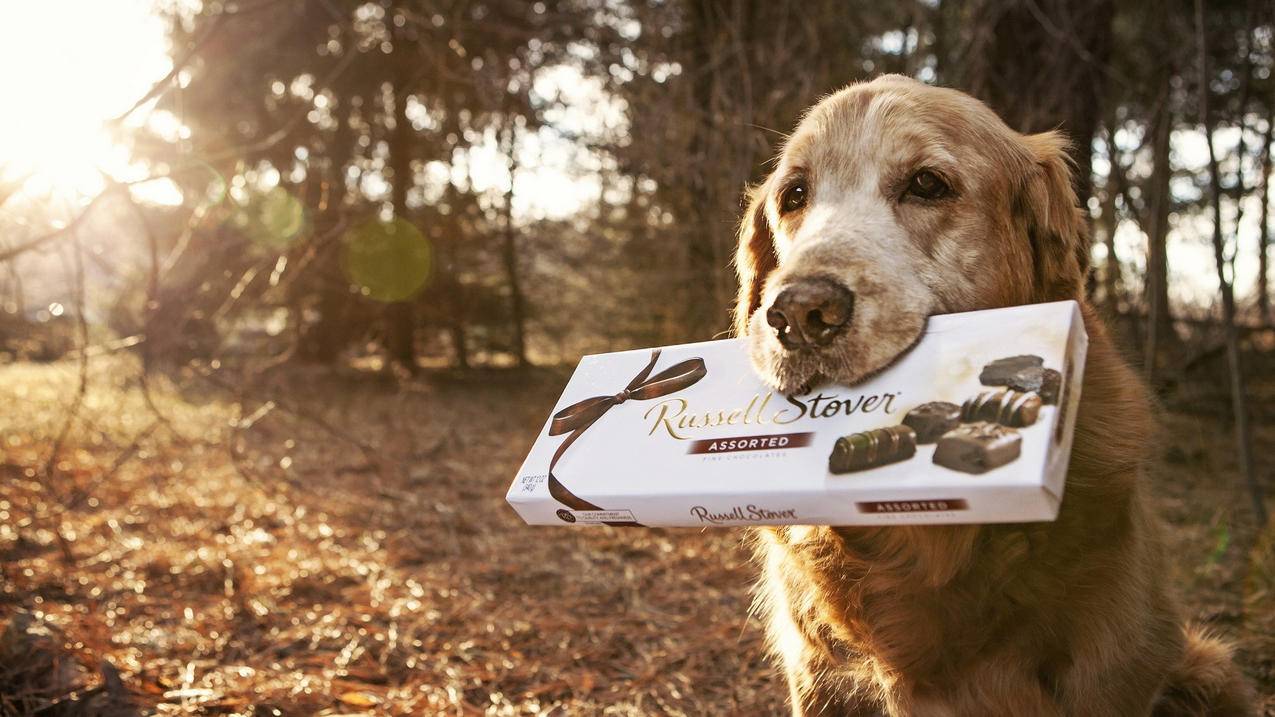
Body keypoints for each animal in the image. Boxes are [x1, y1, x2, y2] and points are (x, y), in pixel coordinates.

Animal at [734, 75, 1249, 709]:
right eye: (795, 195)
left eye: (927, 184)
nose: (799, 315)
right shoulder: (816, 675)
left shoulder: (1112, 668)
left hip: (1208, 669)